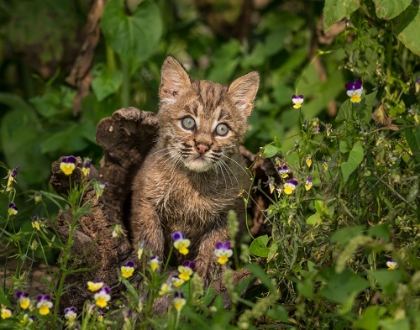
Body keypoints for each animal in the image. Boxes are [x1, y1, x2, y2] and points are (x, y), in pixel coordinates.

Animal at [130, 55, 260, 282]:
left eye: (222, 129)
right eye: (188, 123)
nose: (202, 146)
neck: (192, 180)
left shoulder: (230, 209)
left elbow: (216, 243)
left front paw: (207, 274)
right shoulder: (145, 196)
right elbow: (149, 234)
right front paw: (149, 271)